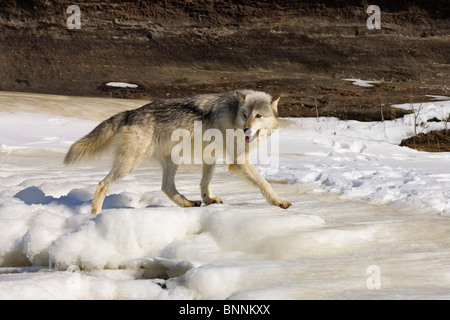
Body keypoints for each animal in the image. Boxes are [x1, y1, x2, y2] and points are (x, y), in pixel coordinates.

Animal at [65, 90, 294, 214]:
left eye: (258, 116)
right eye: (245, 115)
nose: (246, 129)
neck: (233, 115)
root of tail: (131, 112)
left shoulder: (210, 156)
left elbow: (205, 183)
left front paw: (208, 200)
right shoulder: (237, 161)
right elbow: (264, 183)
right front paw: (279, 202)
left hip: (172, 162)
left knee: (166, 187)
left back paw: (189, 203)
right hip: (130, 164)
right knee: (103, 184)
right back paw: (95, 214)